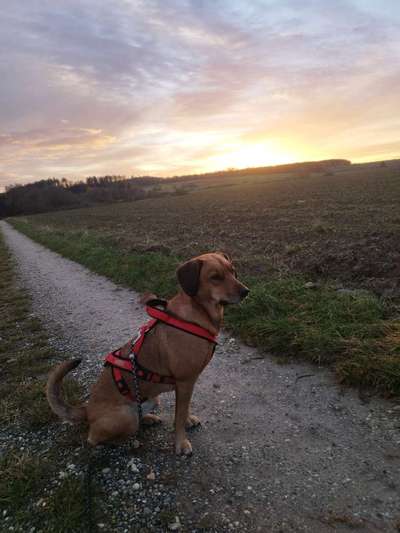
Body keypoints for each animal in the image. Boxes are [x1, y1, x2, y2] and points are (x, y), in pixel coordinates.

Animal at [45, 251, 248, 456]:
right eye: (215, 277)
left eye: (233, 271)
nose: (246, 292)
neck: (198, 313)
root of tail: (87, 409)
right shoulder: (184, 381)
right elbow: (179, 415)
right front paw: (181, 443)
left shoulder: (188, 383)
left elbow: (184, 409)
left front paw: (188, 419)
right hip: (125, 417)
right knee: (94, 438)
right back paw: (126, 442)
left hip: (152, 398)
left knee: (138, 415)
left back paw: (148, 418)